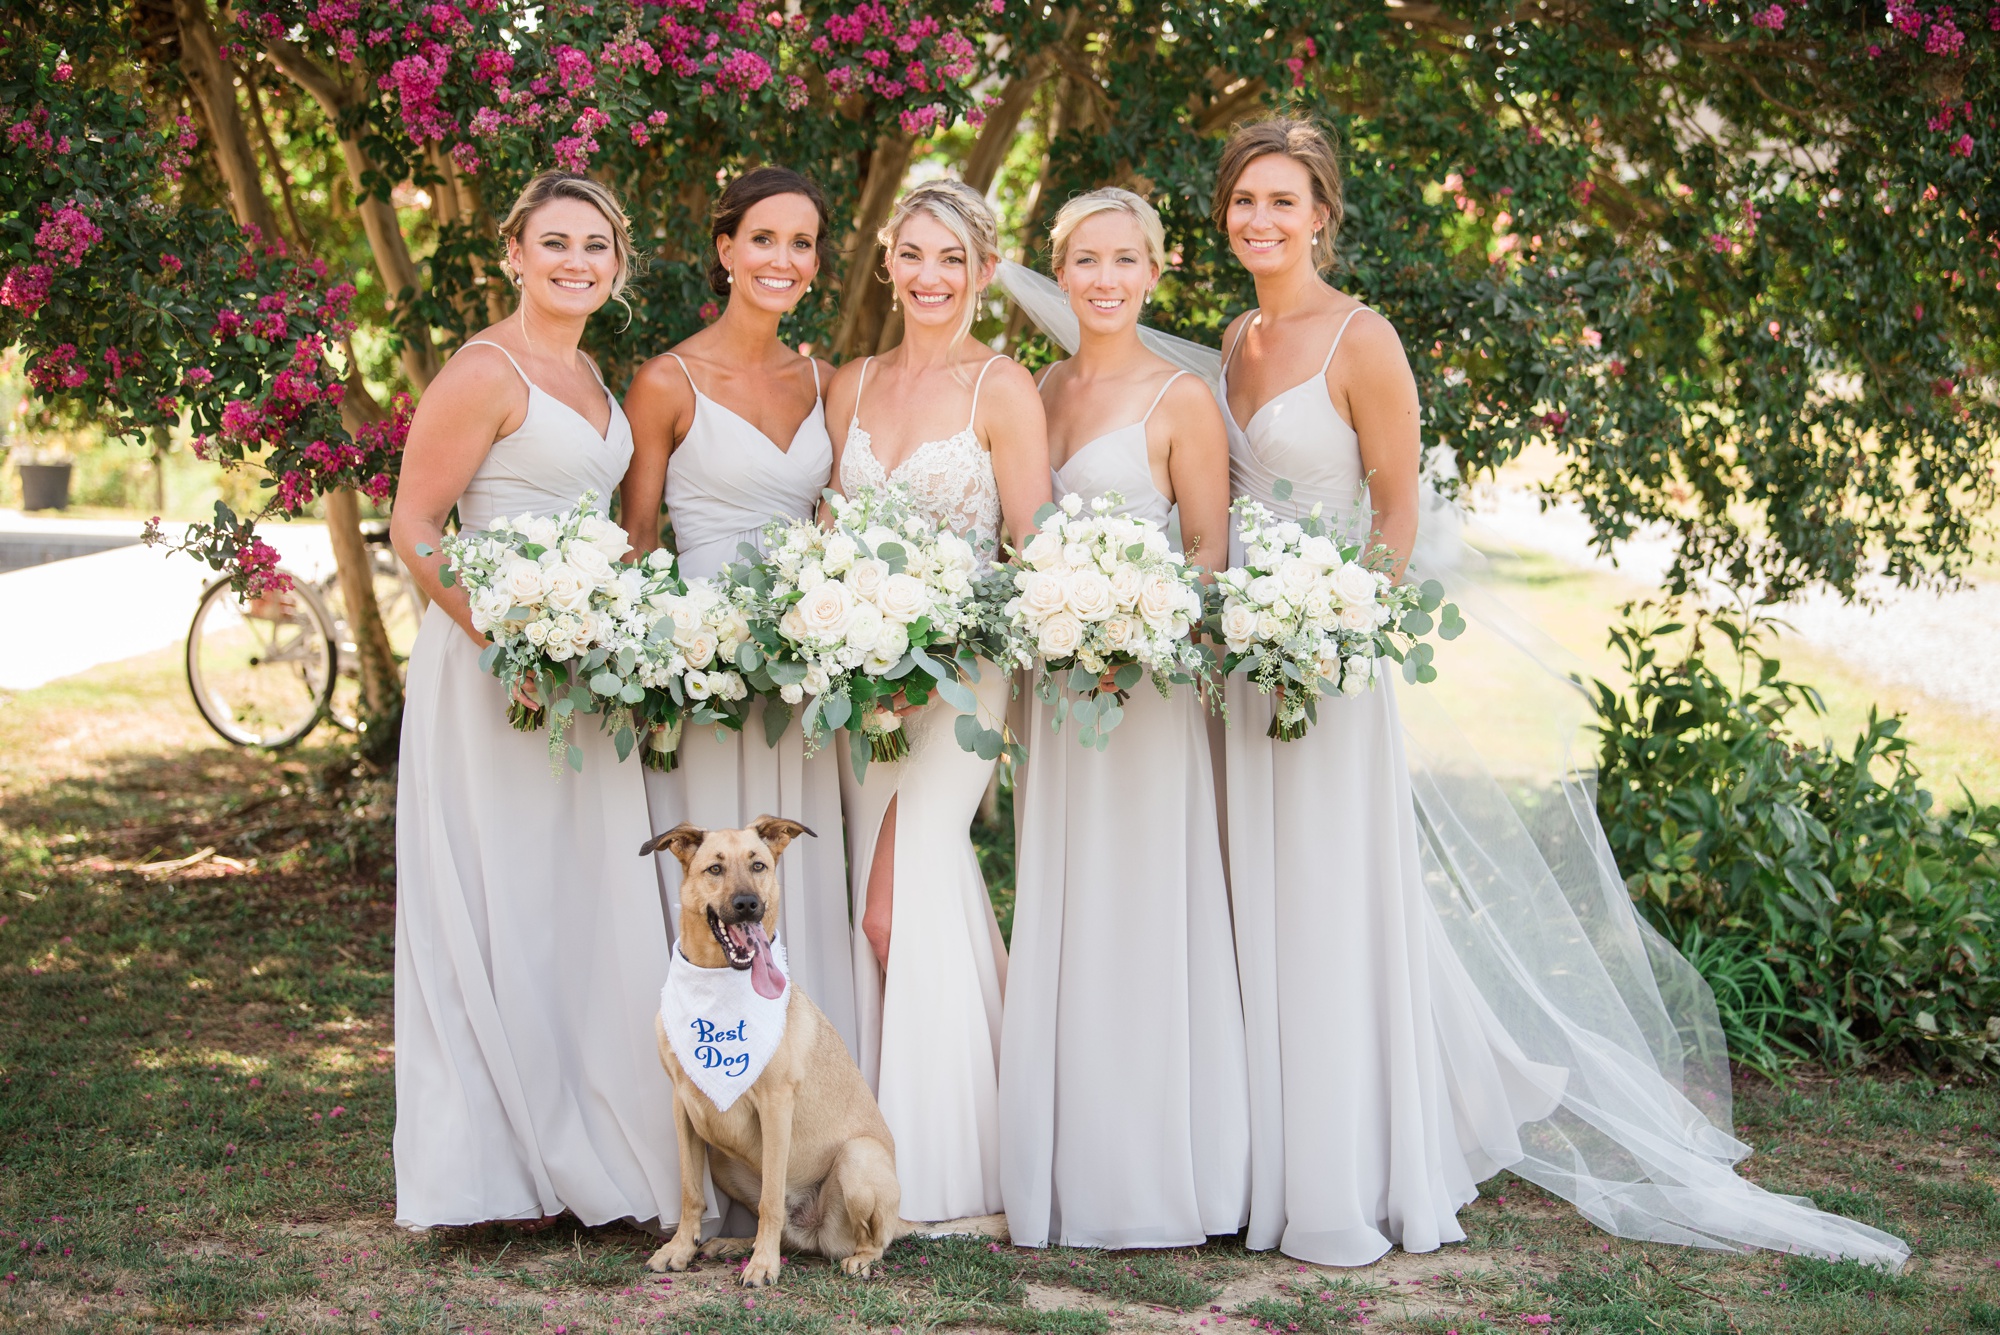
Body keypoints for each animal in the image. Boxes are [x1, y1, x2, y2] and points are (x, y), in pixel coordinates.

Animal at [640, 815, 908, 1279]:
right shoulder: (683, 1105)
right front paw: (681, 1248)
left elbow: (769, 1200)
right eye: (715, 869)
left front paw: (763, 1266)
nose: (748, 904)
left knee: (869, 1240)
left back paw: (857, 1259)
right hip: (723, 1160)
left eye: (759, 865)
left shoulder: (776, 1105)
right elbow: (690, 1191)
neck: (719, 982)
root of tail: (814, 1228)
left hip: (858, 1158)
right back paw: (734, 1243)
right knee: (787, 1232)